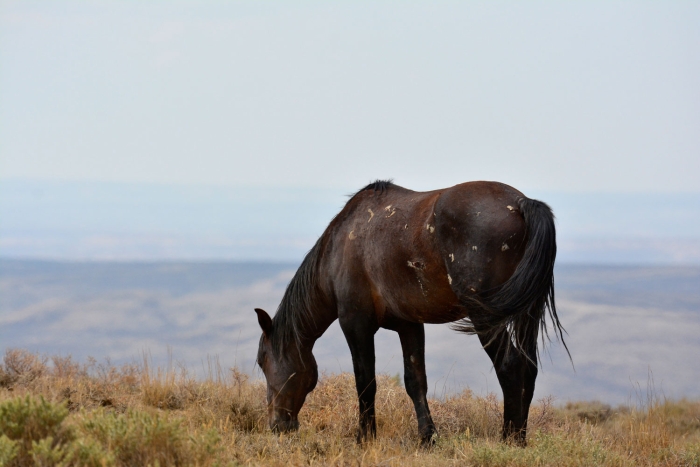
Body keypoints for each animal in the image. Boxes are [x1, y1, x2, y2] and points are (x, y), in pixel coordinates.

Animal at [254, 179, 568, 446]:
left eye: (262, 360)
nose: (277, 426)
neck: (340, 246)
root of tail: (522, 203)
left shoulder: (355, 324)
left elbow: (365, 382)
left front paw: (364, 437)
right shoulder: (410, 325)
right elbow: (415, 382)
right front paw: (427, 437)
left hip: (486, 317)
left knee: (510, 365)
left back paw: (509, 439)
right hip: (526, 313)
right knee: (528, 366)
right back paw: (521, 438)